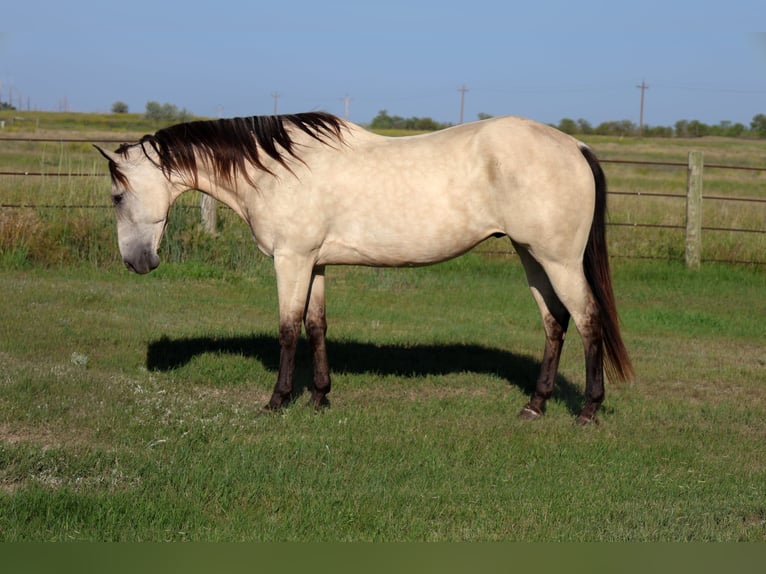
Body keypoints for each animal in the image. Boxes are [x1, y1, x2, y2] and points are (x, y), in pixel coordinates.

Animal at [95, 112, 633, 425]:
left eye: (117, 196)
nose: (137, 262)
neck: (276, 170)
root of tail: (574, 146)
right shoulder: (313, 263)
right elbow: (316, 326)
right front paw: (319, 399)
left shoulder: (291, 260)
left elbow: (287, 329)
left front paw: (277, 402)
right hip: (531, 255)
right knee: (554, 323)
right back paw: (535, 405)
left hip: (558, 260)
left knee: (587, 321)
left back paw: (588, 411)